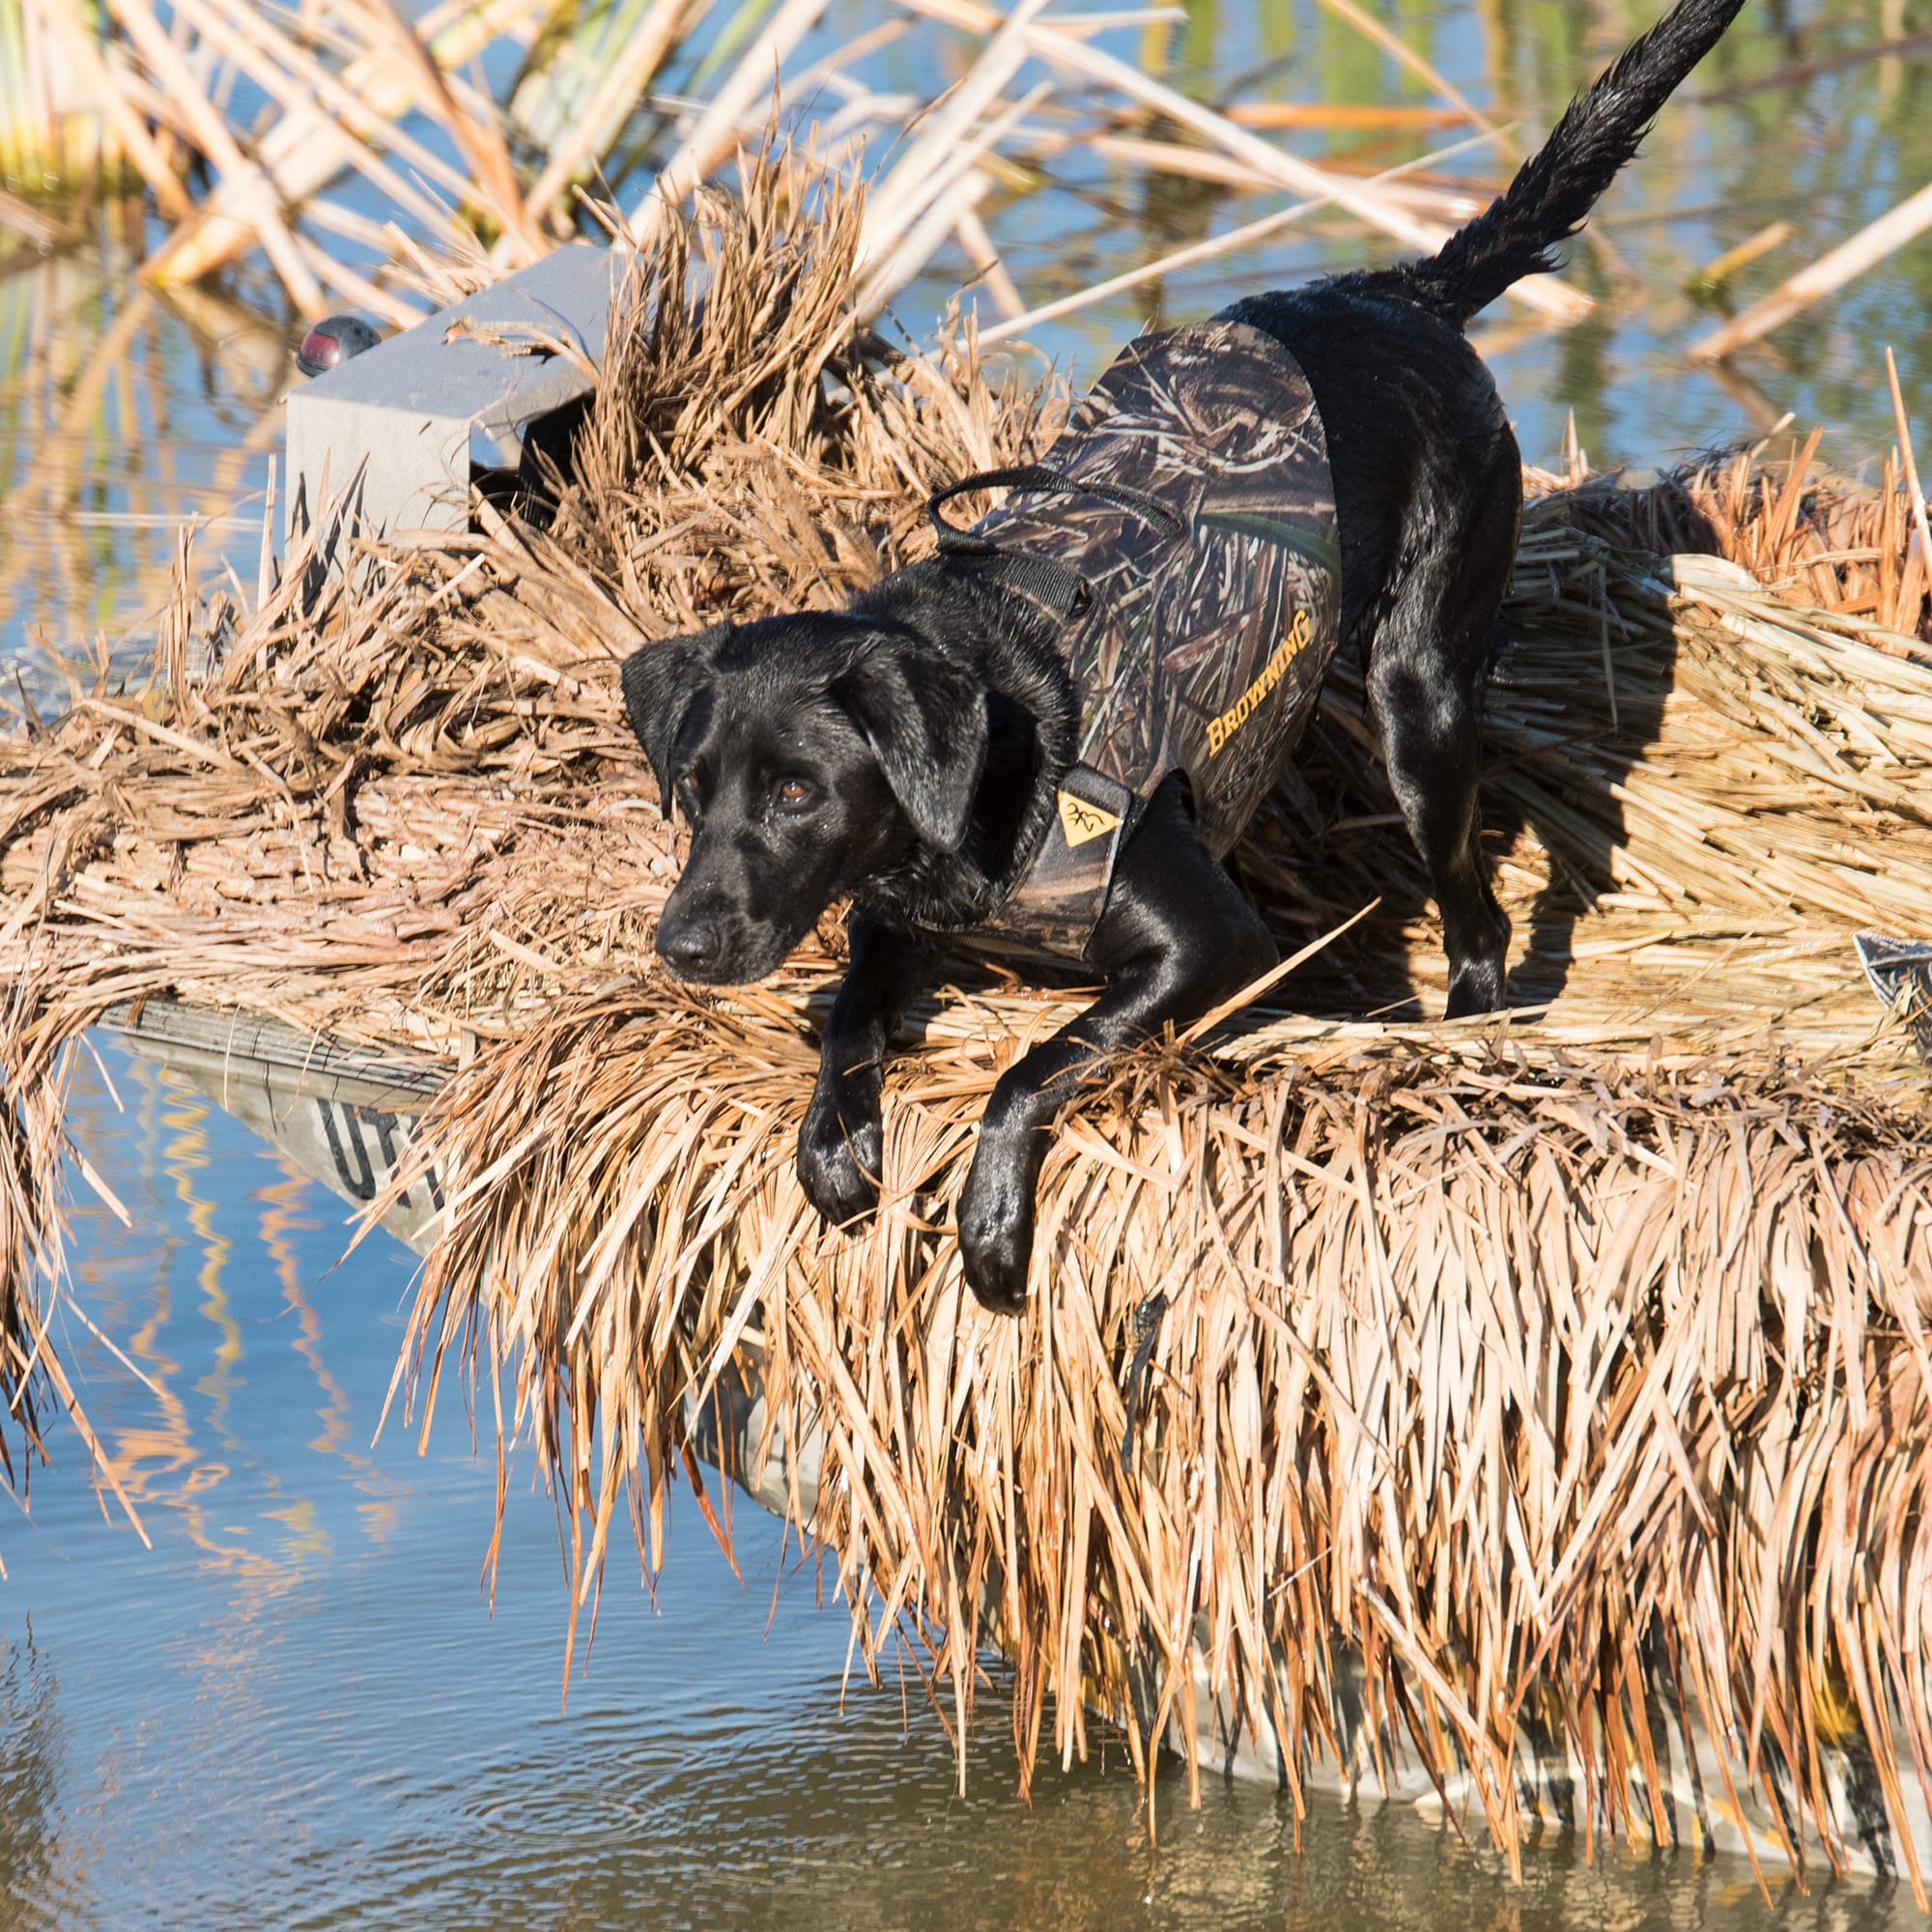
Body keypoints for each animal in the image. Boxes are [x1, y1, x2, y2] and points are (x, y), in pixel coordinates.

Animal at [618, 0, 1754, 1314]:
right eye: (693, 789)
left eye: (799, 791)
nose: (680, 945)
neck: (993, 773)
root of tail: (1396, 294)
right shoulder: (889, 919)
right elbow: (848, 1015)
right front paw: (832, 1137)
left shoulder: (1211, 945)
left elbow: (1038, 1059)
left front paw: (990, 1221)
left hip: (1420, 694)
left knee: (1474, 917)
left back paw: (1459, 1032)